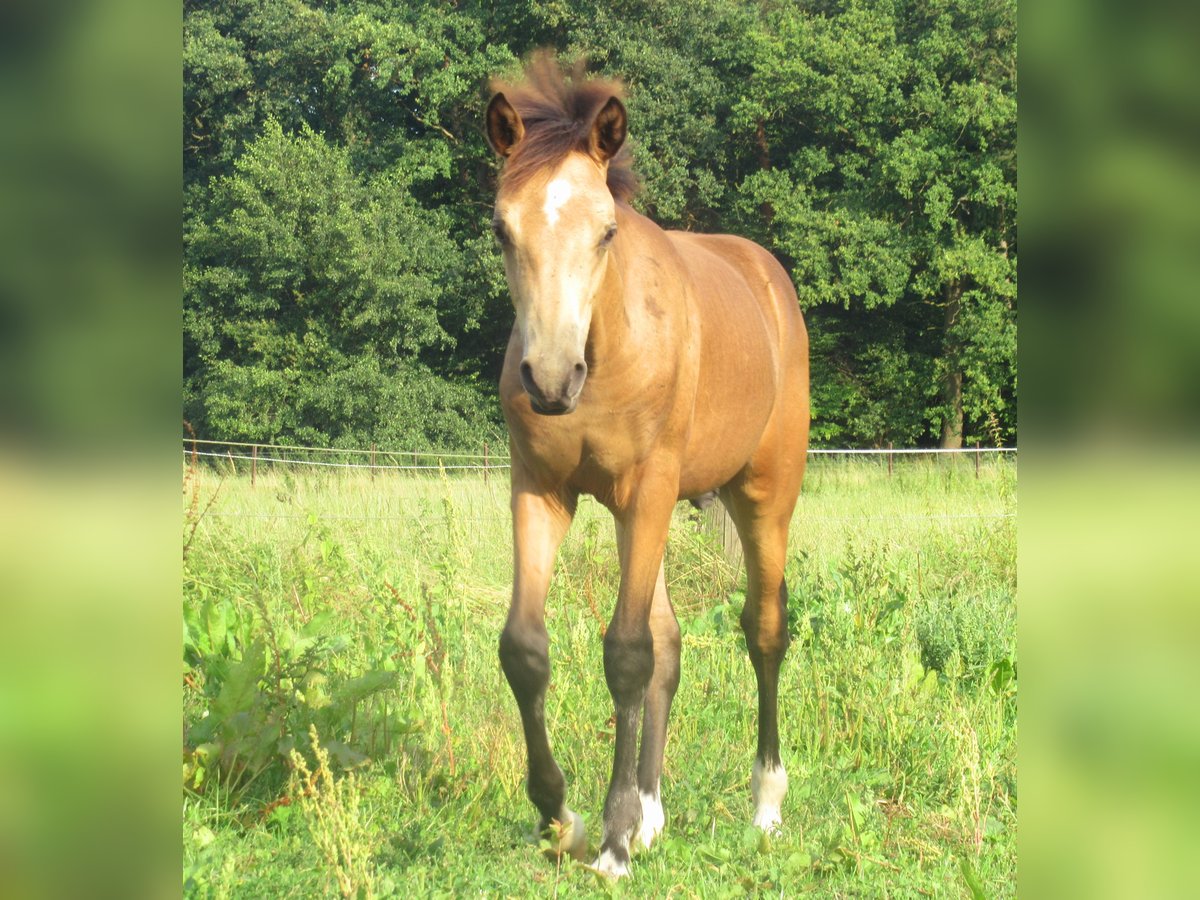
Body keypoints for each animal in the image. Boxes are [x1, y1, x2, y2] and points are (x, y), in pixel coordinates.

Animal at [487, 58, 816, 883]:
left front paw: (609, 842)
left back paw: (765, 805)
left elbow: (626, 653)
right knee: (671, 642)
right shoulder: (542, 491)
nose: (550, 380)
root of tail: (766, 273)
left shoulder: (651, 490)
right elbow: (526, 648)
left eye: (606, 231)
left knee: (764, 629)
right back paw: (653, 813)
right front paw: (563, 820)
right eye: (500, 228)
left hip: (764, 494)